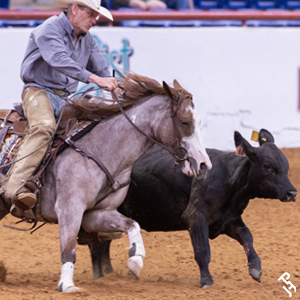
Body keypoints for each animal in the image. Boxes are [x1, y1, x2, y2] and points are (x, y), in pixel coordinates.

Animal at [0, 72, 212, 292]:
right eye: (185, 121)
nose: (204, 164)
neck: (101, 148)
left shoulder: (97, 213)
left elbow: (132, 224)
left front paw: (135, 262)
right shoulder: (69, 209)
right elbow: (68, 249)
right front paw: (67, 285)